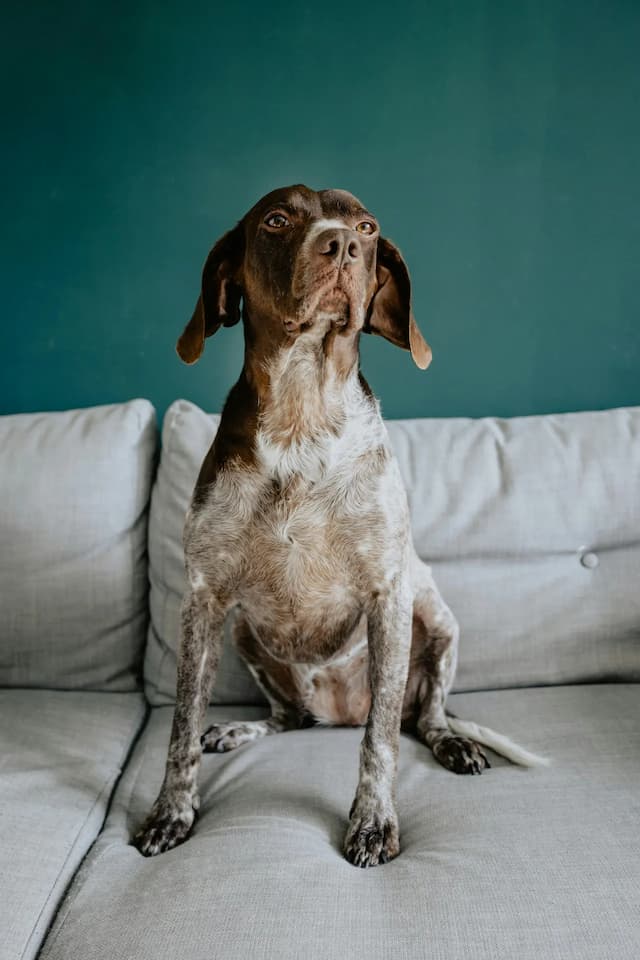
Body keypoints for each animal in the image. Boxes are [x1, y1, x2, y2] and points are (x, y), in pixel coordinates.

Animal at [134, 184, 544, 868]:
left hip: (437, 618)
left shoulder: (388, 595)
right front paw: (173, 811)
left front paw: (374, 822)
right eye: (277, 220)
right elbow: (180, 727)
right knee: (291, 718)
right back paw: (241, 728)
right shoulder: (205, 601)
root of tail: (338, 712)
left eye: (367, 226)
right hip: (245, 632)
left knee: (420, 717)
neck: (303, 411)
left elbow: (381, 742)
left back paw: (452, 743)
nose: (343, 245)